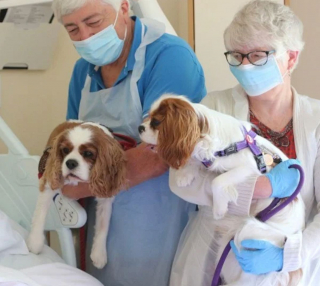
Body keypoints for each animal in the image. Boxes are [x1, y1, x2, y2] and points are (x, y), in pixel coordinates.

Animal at [26, 119, 126, 270]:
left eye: (88, 153)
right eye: (65, 150)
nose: (70, 162)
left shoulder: (105, 196)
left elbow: (103, 225)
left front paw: (99, 254)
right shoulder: (48, 183)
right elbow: (40, 214)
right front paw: (35, 242)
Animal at [139, 95, 304, 286]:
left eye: (156, 122)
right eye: (148, 117)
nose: (140, 127)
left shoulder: (250, 168)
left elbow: (217, 181)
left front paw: (219, 208)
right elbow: (196, 162)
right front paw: (185, 175)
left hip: (252, 231)